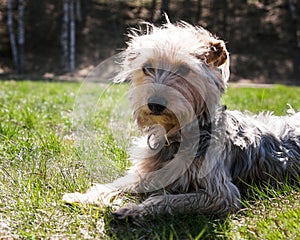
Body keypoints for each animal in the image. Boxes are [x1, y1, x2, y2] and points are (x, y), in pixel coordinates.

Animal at [63, 16, 300, 219]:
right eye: (146, 68)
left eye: (184, 70)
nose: (155, 103)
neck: (176, 134)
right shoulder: (149, 171)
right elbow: (119, 183)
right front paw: (84, 196)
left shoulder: (220, 194)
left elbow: (165, 200)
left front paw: (133, 209)